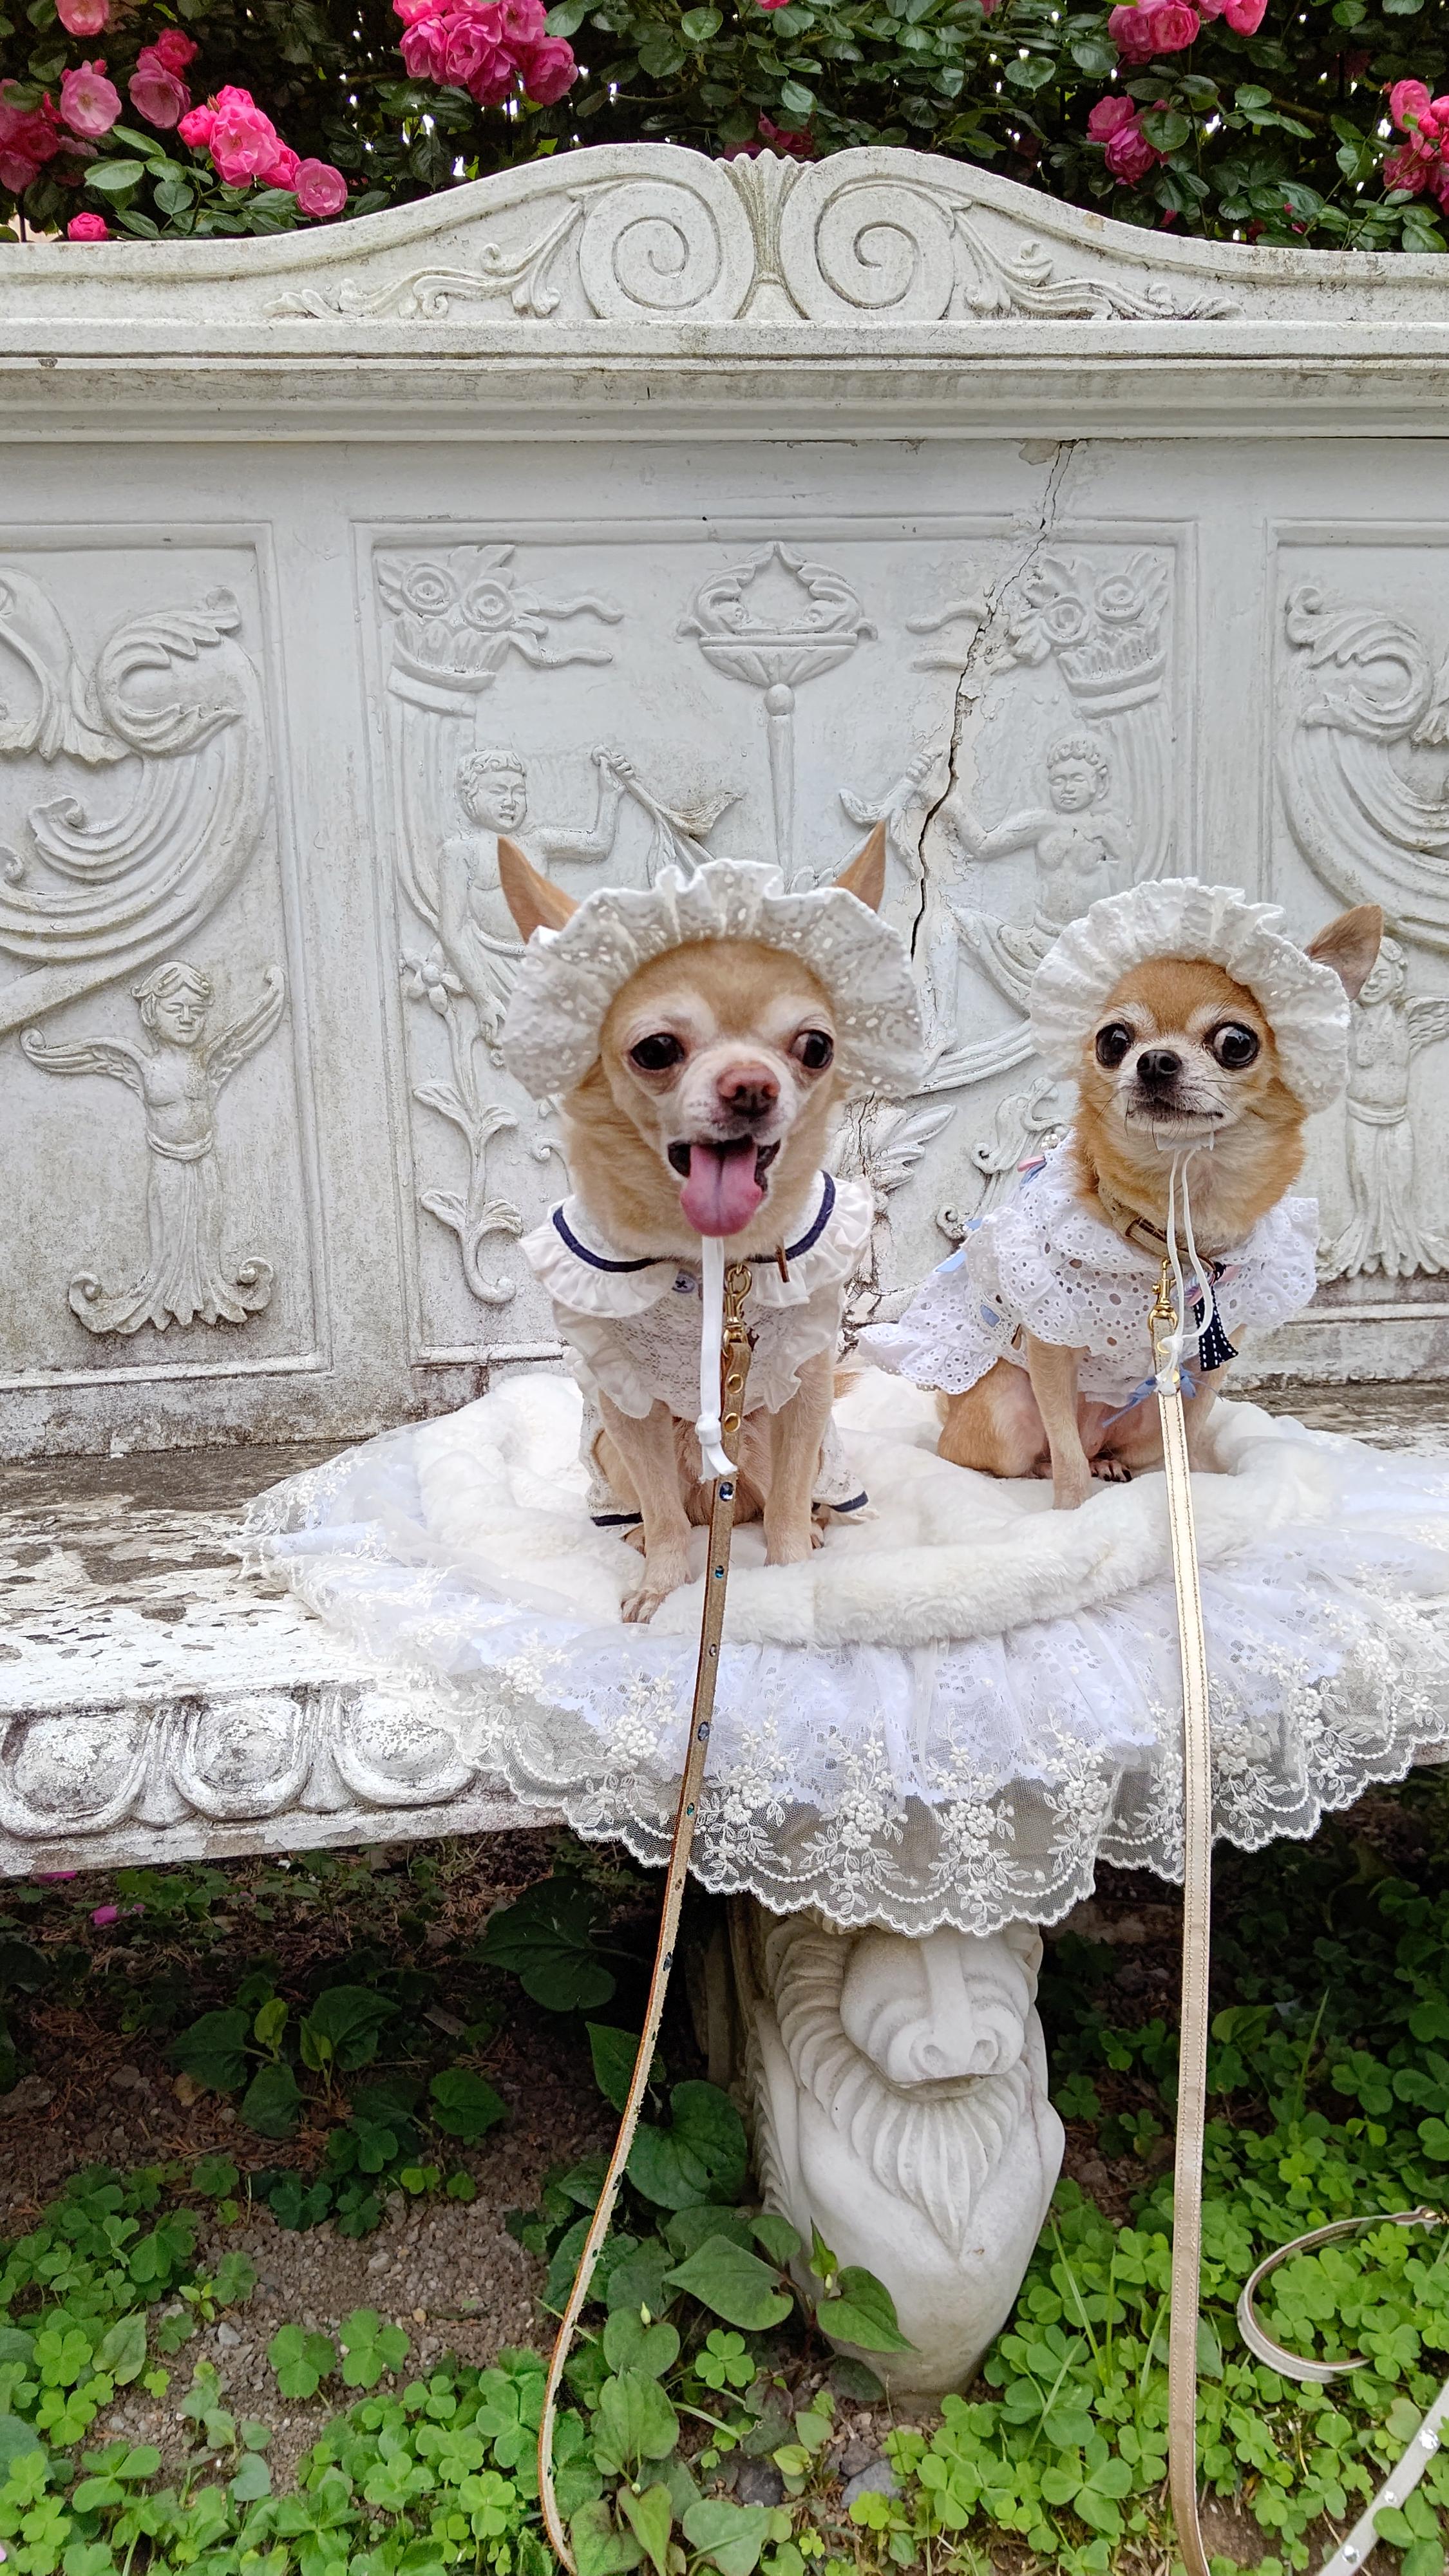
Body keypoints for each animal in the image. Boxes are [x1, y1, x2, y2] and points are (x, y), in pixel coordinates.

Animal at [498, 828, 893, 1620]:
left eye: (816, 1047)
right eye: (656, 1050)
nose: (752, 1085)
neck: (711, 1257)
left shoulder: (804, 1391)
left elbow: (786, 1508)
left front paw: (792, 1574)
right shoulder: (626, 1405)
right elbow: (664, 1515)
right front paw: (663, 1586)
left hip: (793, 1445)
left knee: (790, 1497)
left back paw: (817, 1522)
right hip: (610, 1455)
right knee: (668, 1510)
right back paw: (641, 1538)